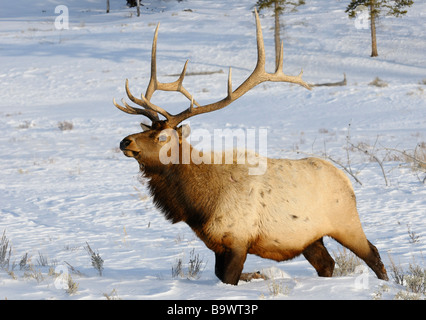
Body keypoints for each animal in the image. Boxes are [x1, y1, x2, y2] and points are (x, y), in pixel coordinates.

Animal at [114, 9, 390, 284]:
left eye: (162, 137)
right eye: (145, 129)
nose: (125, 141)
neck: (199, 205)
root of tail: (347, 182)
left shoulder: (237, 240)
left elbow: (228, 278)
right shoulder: (218, 245)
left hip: (346, 222)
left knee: (373, 254)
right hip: (309, 237)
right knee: (327, 263)